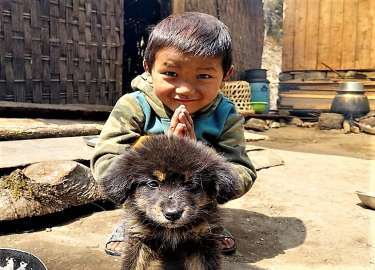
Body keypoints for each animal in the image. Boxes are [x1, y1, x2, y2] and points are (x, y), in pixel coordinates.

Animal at [100, 136, 241, 270]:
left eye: (190, 184)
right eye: (153, 183)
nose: (172, 214)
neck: (171, 232)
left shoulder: (203, 240)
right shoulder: (139, 237)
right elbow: (133, 265)